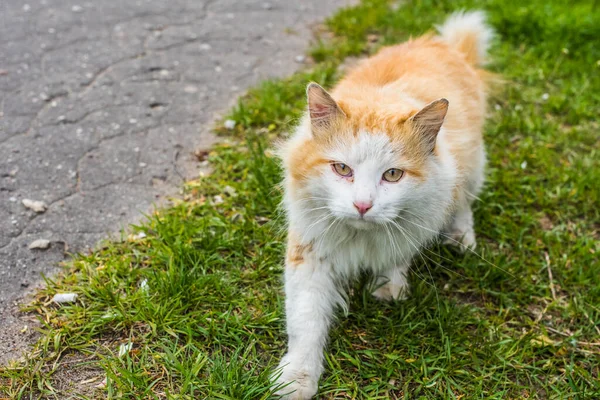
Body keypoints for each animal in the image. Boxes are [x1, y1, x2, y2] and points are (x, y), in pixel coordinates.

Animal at [274, 10, 494, 400]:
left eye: (392, 175)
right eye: (341, 169)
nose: (362, 205)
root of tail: (443, 45)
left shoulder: (418, 218)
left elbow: (396, 255)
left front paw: (387, 288)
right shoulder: (309, 253)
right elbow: (305, 322)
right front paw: (296, 381)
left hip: (471, 168)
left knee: (465, 205)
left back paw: (461, 239)